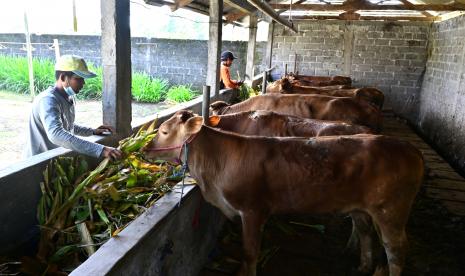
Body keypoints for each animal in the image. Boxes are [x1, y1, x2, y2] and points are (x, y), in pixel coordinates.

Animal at [142, 110, 424, 276]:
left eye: (164, 131)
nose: (143, 149)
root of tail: (408, 148)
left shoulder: (253, 210)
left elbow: (250, 252)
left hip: (390, 211)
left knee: (395, 249)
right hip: (361, 209)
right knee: (366, 233)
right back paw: (363, 266)